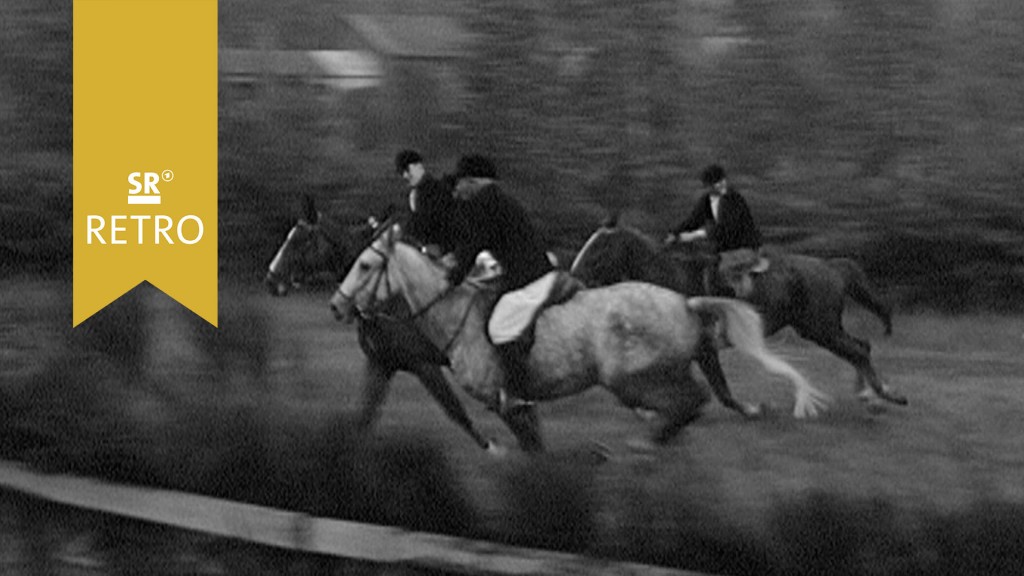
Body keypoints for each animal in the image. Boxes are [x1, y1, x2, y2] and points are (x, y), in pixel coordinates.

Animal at [264, 194, 495, 450]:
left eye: (300, 240)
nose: (271, 279)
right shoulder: (381, 365)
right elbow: (363, 420)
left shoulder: (424, 366)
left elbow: (458, 414)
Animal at [331, 224, 827, 448]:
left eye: (366, 265)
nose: (336, 306)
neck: (455, 314)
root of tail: (684, 302)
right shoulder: (513, 404)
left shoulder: (502, 400)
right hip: (653, 376)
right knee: (692, 401)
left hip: (631, 379)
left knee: (693, 400)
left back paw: (646, 445)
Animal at [573, 218, 909, 403]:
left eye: (599, 249)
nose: (574, 276)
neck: (671, 279)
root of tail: (830, 267)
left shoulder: (704, 348)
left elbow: (720, 388)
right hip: (822, 329)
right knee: (861, 347)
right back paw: (867, 394)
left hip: (820, 328)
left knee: (859, 350)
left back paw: (884, 395)